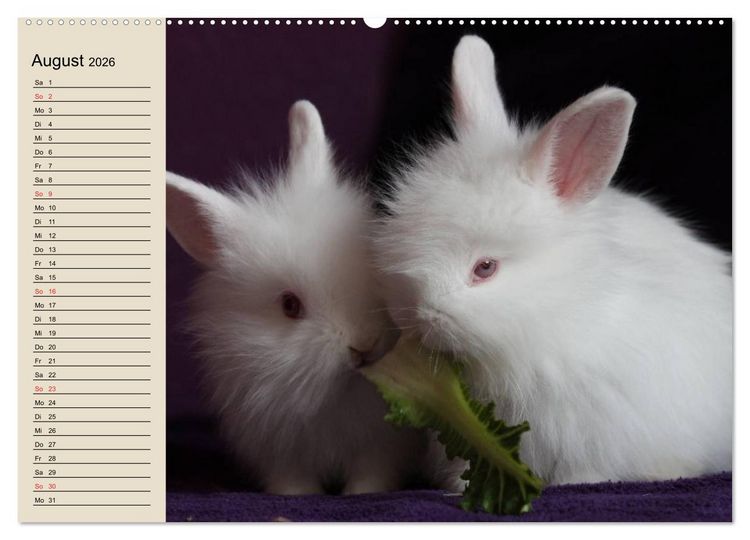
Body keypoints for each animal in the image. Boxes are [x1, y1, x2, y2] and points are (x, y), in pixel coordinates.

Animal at [166, 100, 424, 495]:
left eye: (372, 272)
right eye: (290, 306)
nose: (363, 345)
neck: (333, 396)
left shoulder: (381, 446)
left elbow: (371, 475)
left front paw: (362, 493)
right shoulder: (278, 449)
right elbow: (293, 481)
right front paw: (299, 495)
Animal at [373, 35, 732, 487]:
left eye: (485, 268)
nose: (421, 318)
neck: (552, 316)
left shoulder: (596, 427)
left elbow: (588, 466)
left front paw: (579, 482)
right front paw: (457, 488)